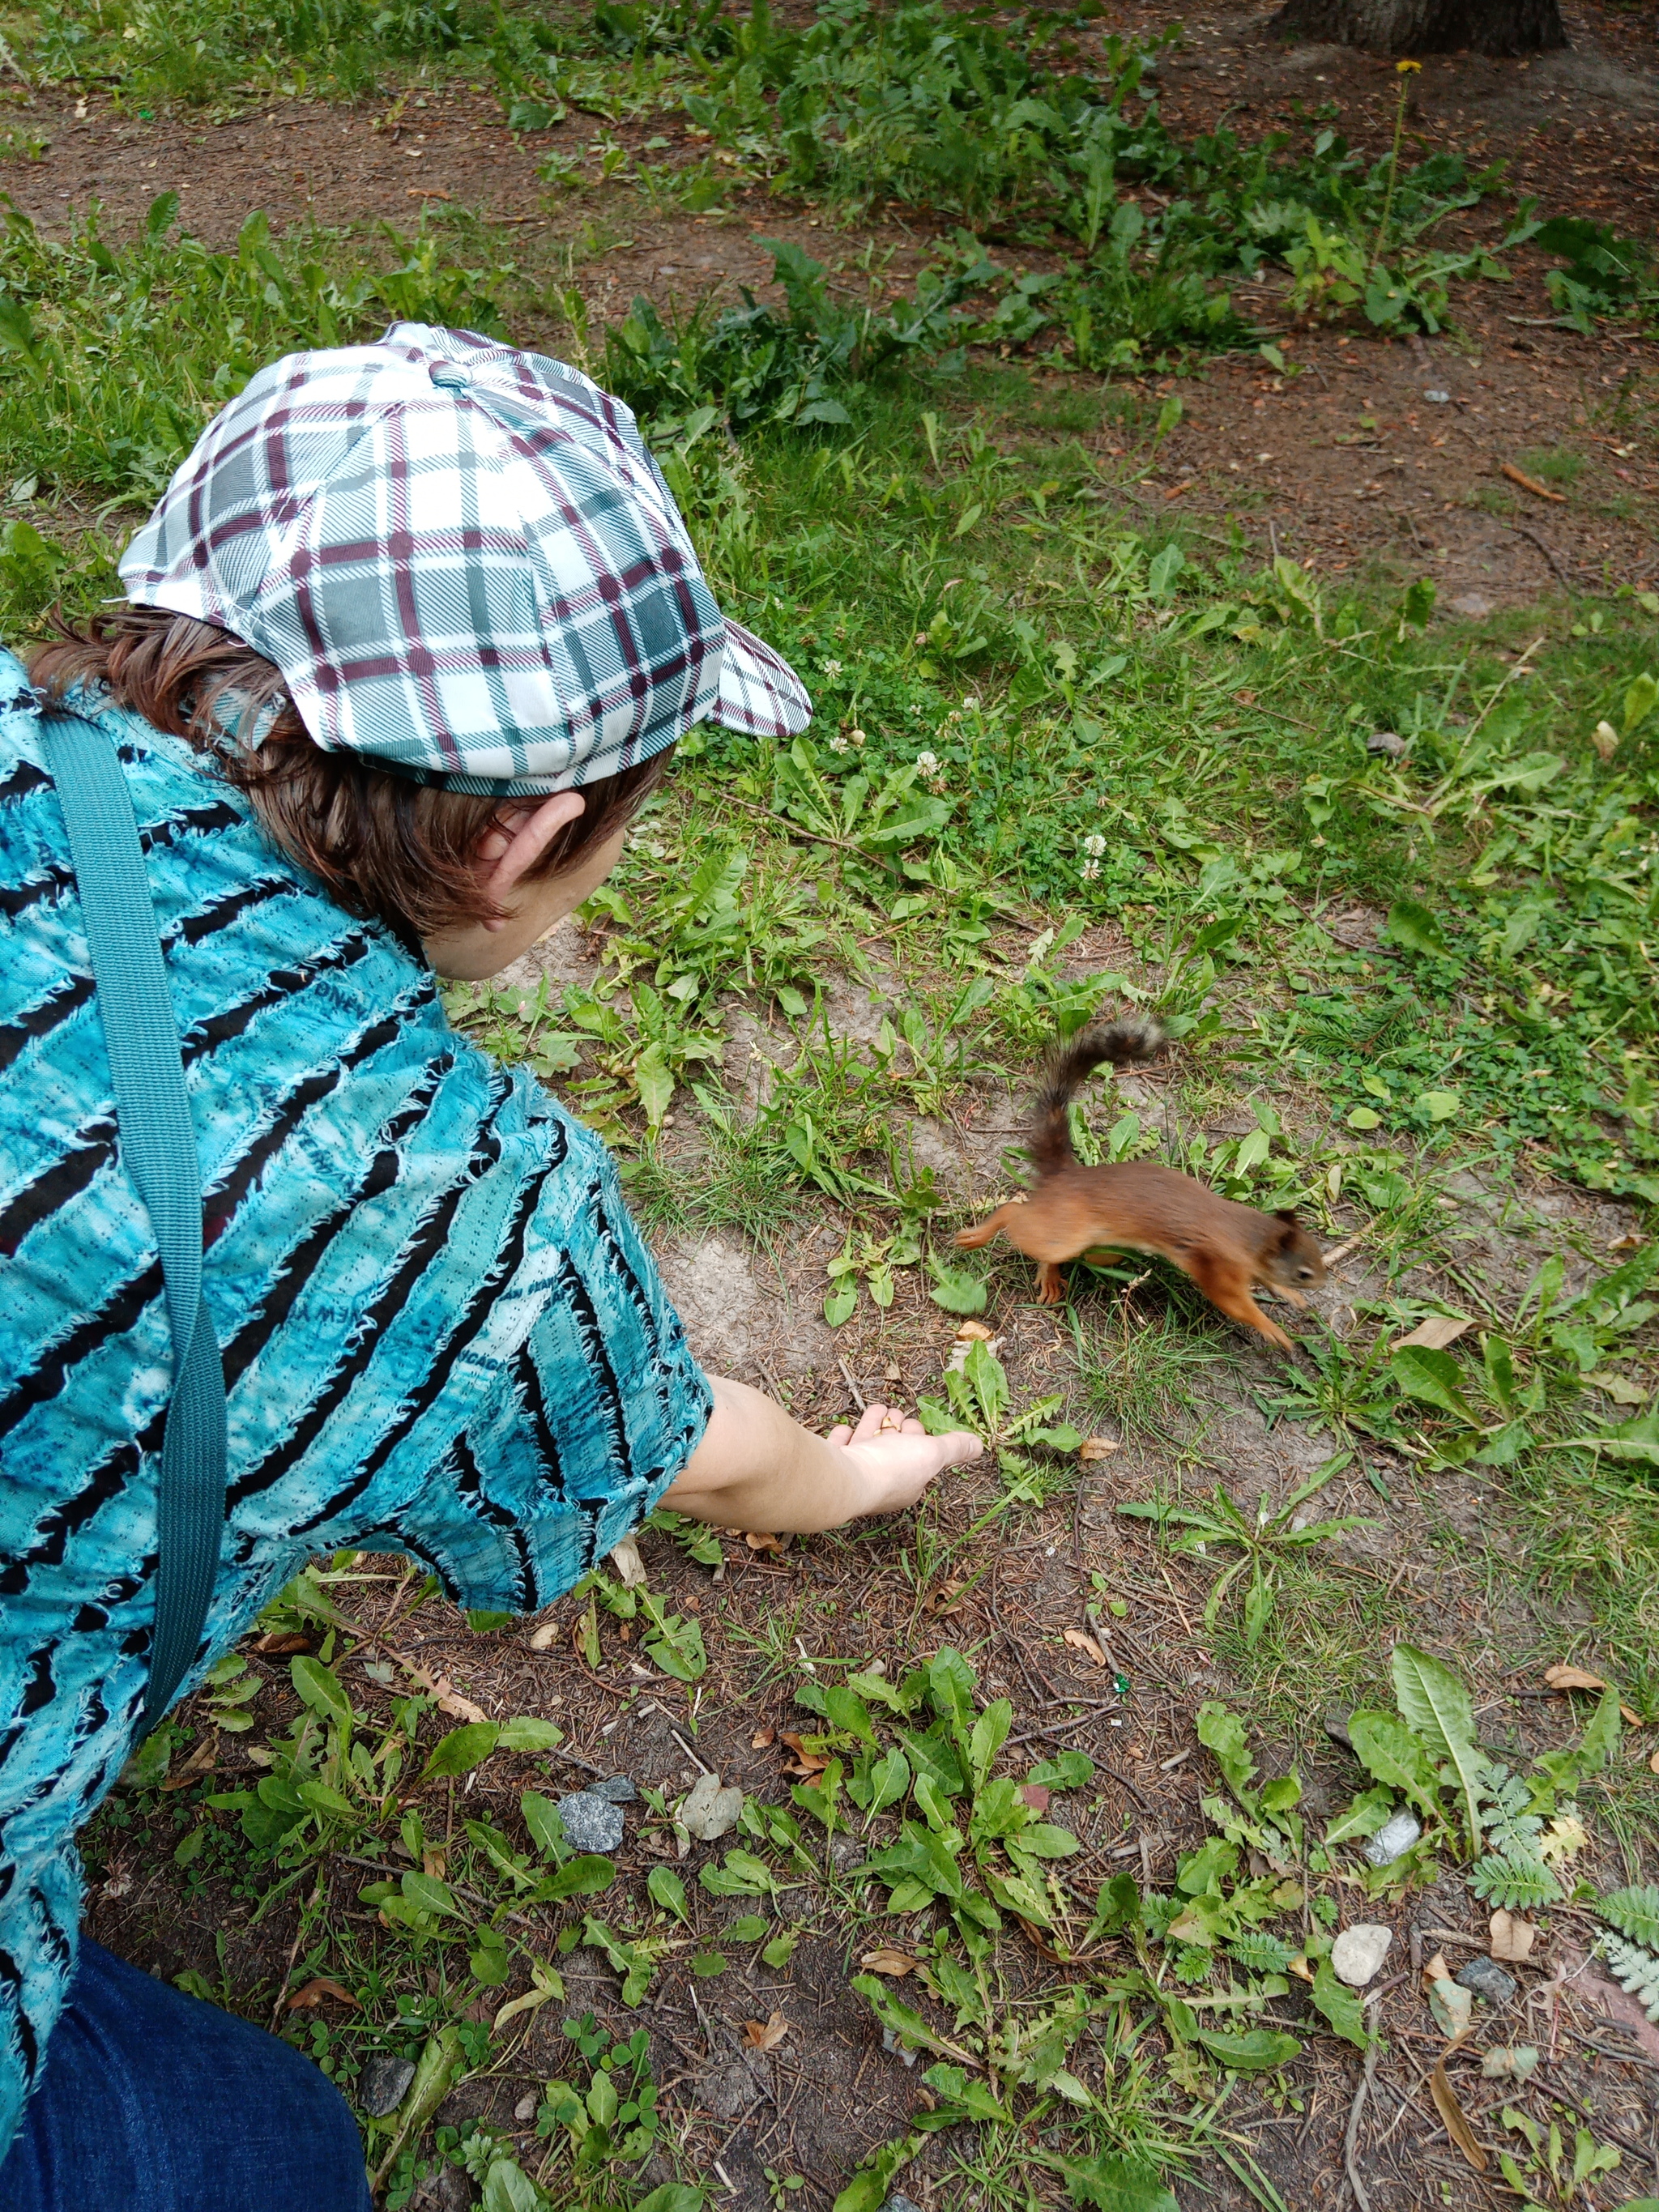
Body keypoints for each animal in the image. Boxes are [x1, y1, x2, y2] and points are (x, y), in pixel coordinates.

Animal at [955, 1017, 1336, 1345]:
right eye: (1304, 1272)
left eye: (1317, 1254)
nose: (1322, 1281)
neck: (1251, 1237)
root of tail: (1068, 1174)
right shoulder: (1218, 1266)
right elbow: (1233, 1302)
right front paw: (1273, 1329)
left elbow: (1266, 1282)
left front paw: (1289, 1296)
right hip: (1063, 1230)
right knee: (1015, 1215)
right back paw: (982, 1236)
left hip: (1103, 1249)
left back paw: (1049, 1274)